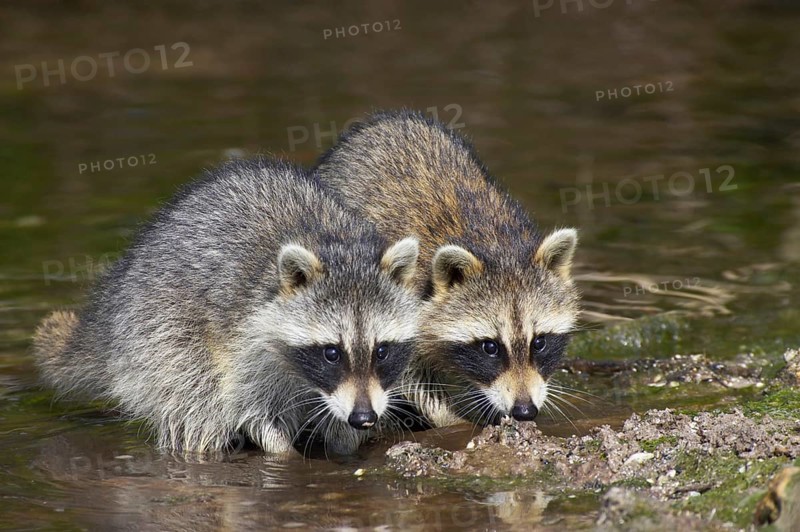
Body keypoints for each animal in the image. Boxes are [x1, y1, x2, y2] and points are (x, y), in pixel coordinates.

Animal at [33, 158, 420, 455]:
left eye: (382, 350)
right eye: (331, 352)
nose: (364, 418)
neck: (335, 245)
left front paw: (346, 441)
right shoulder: (245, 340)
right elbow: (252, 407)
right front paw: (283, 453)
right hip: (157, 329)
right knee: (195, 401)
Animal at [316, 110, 580, 427]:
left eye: (539, 342)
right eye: (490, 347)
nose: (524, 410)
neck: (496, 244)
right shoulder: (402, 304)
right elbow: (411, 378)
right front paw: (452, 421)